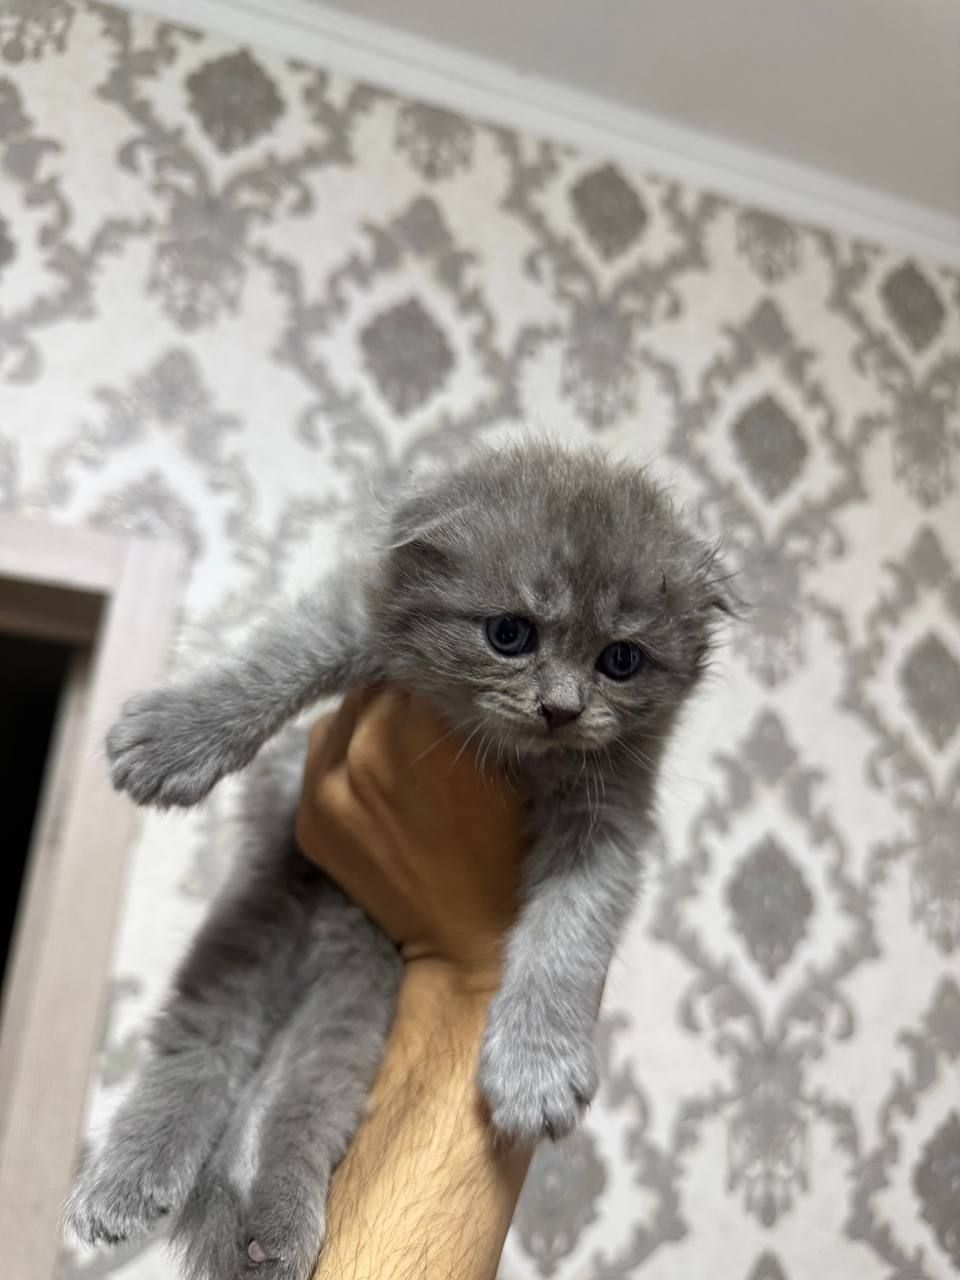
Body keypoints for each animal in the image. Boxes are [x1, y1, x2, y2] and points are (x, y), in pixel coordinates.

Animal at [68, 440, 731, 1280]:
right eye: (510, 634)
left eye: (622, 659)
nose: (562, 708)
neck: (514, 761)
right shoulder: (355, 617)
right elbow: (277, 660)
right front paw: (174, 737)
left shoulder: (605, 818)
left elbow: (568, 934)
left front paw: (536, 1065)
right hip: (252, 927)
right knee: (199, 1050)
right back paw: (126, 1183)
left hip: (356, 1003)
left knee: (299, 1107)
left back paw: (271, 1232)